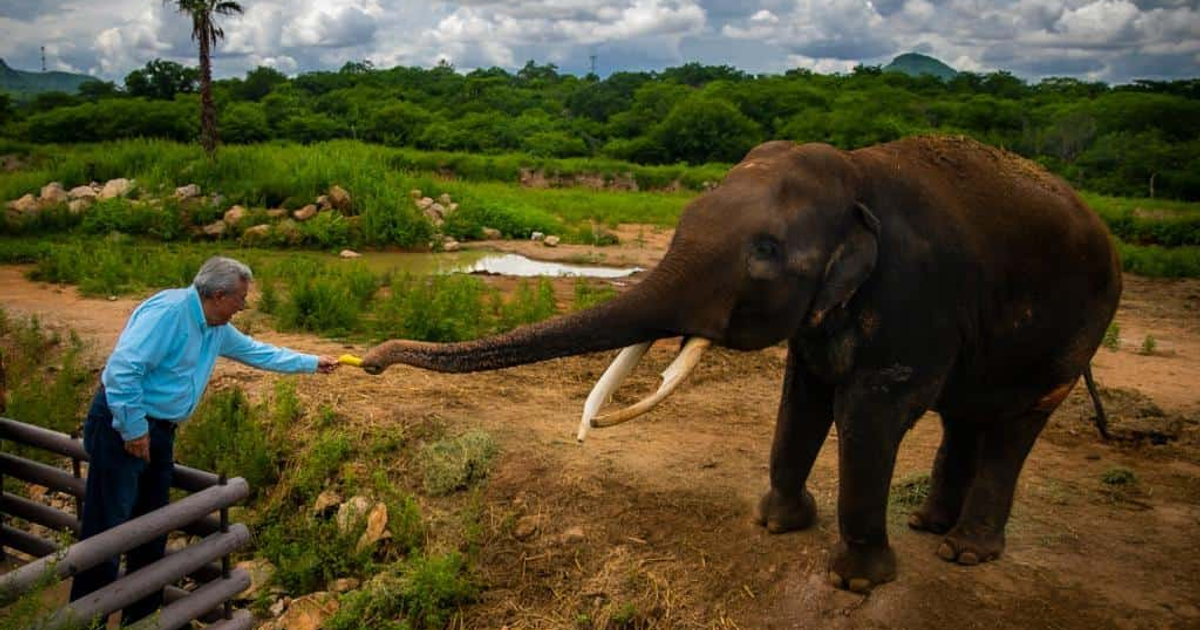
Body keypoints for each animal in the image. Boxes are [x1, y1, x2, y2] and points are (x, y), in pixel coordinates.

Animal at [362, 135, 1122, 592]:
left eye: (765, 253)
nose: (368, 362)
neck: (857, 174)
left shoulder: (914, 297)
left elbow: (868, 408)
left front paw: (857, 582)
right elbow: (802, 397)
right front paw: (776, 525)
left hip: (1079, 330)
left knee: (1016, 424)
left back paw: (964, 552)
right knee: (967, 415)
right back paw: (930, 529)